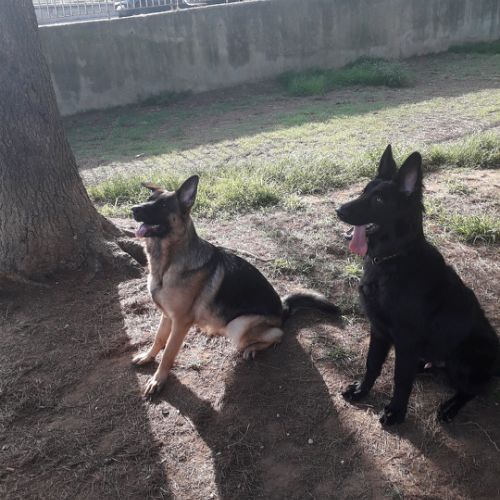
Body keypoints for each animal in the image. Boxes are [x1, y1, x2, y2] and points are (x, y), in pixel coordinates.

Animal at [131, 175, 339, 395]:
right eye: (148, 199)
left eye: (162, 205)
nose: (133, 209)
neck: (167, 262)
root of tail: (282, 309)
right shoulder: (167, 315)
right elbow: (159, 338)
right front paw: (148, 356)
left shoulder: (180, 322)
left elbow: (169, 352)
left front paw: (158, 379)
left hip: (238, 326)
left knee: (277, 335)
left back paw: (252, 348)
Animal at [336, 145, 499, 425]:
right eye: (364, 191)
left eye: (379, 200)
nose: (338, 211)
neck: (392, 260)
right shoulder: (379, 331)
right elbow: (372, 365)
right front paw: (361, 390)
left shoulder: (405, 341)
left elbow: (401, 381)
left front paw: (395, 412)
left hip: (463, 359)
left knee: (473, 390)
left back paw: (450, 407)